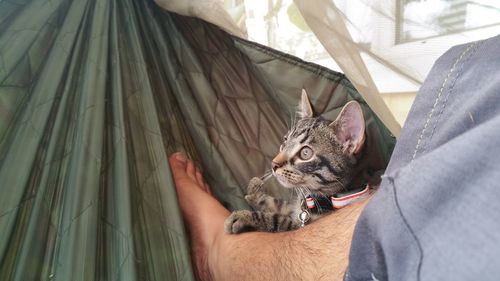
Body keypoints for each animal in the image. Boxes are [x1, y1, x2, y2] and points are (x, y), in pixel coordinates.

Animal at [225, 89, 366, 232]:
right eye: (285, 140)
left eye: (305, 153)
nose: (273, 164)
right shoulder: (294, 208)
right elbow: (280, 204)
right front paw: (256, 193)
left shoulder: (301, 226)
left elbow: (278, 220)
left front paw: (245, 216)